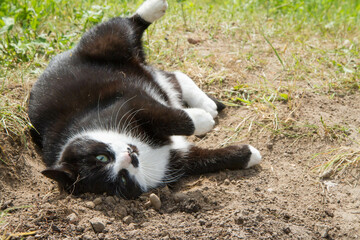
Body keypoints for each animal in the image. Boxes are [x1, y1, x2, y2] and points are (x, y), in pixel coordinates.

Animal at [27, 0, 258, 199]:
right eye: (122, 179)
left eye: (101, 157)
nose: (130, 157)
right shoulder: (176, 161)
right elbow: (208, 159)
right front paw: (250, 154)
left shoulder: (126, 103)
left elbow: (171, 118)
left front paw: (201, 120)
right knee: (173, 78)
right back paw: (206, 104)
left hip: (103, 44)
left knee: (124, 26)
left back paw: (153, 7)